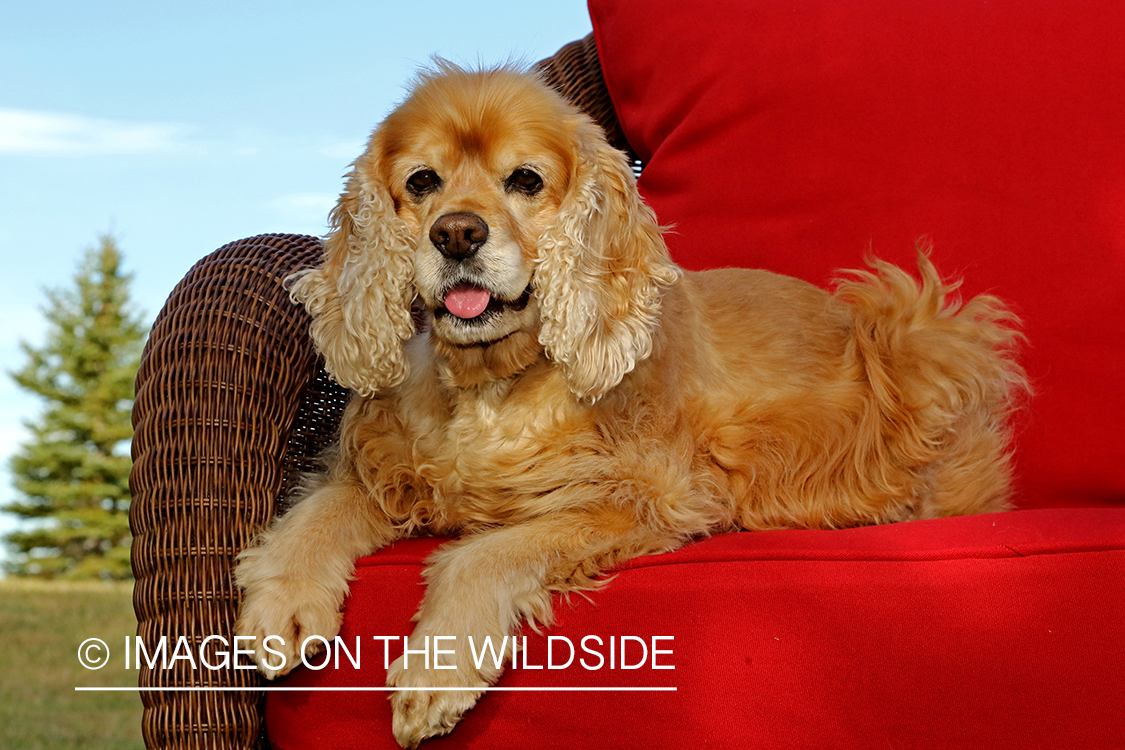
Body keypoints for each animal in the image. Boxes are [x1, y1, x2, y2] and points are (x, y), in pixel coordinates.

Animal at [235, 62, 1030, 746]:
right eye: (421, 181)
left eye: (526, 180)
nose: (456, 233)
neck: (495, 383)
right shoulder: (396, 472)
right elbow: (318, 512)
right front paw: (279, 607)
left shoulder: (641, 499)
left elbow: (483, 555)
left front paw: (436, 669)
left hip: (916, 338)